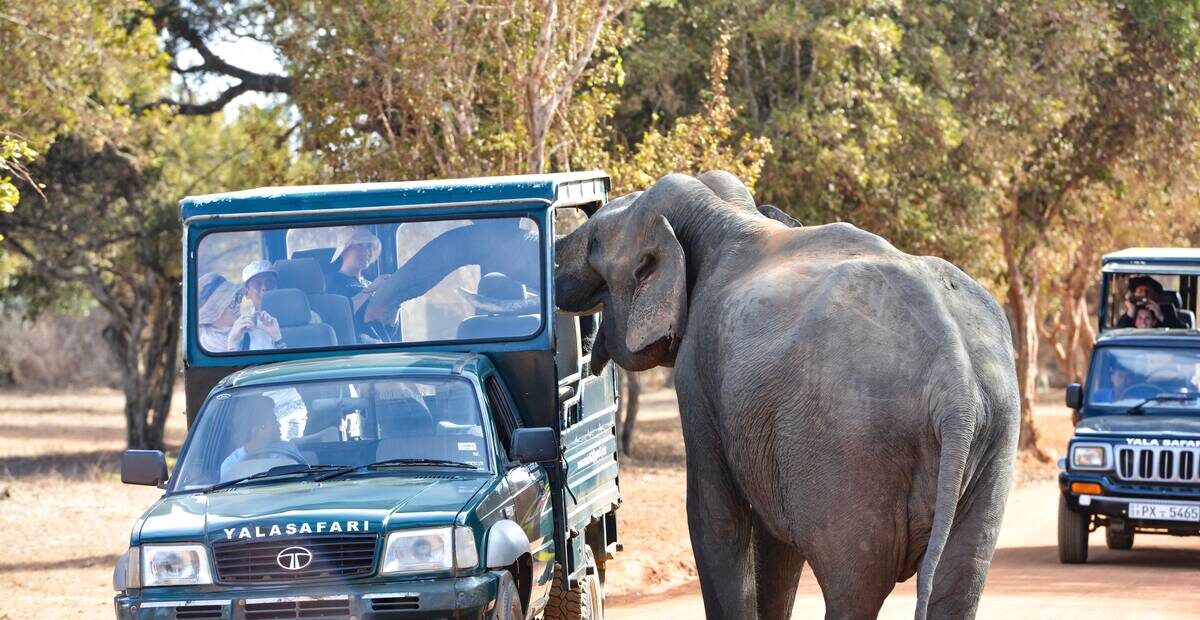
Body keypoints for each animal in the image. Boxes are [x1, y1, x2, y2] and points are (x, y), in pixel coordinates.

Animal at [554, 172, 1019, 620]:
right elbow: (773, 540)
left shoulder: (698, 372)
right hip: (992, 443)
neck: (726, 216)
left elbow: (715, 517)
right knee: (959, 583)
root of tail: (956, 382)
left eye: (594, 244)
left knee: (852, 592)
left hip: (852, 450)